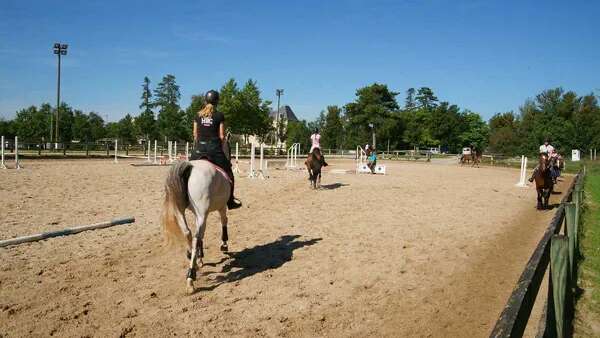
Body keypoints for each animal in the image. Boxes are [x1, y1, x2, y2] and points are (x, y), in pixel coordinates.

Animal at [162, 160, 232, 294]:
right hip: (202, 213)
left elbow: (201, 236)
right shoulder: (221, 207)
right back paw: (190, 278)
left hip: (180, 211)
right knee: (195, 238)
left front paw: (199, 259)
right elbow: (224, 221)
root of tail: (191, 166)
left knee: (188, 233)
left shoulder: (197, 214)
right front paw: (224, 244)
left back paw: (192, 261)